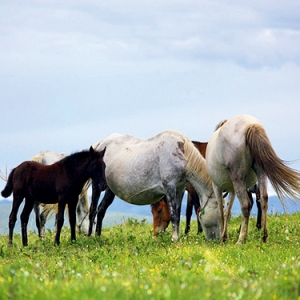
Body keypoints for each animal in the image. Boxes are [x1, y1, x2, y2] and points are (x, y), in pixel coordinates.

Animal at [88, 129, 217, 241]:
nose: (216, 238)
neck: (180, 152)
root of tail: (101, 144)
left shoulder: (180, 189)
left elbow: (178, 213)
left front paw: (178, 237)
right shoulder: (170, 187)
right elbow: (174, 215)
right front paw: (175, 239)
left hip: (110, 190)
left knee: (101, 209)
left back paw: (98, 236)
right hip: (96, 186)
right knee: (93, 210)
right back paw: (89, 237)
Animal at [205, 114, 300, 244]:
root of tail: (250, 125)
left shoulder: (217, 187)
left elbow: (221, 212)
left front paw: (222, 239)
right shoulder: (232, 190)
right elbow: (227, 212)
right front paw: (224, 236)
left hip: (238, 178)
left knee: (246, 205)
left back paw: (241, 240)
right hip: (260, 173)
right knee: (264, 199)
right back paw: (264, 236)